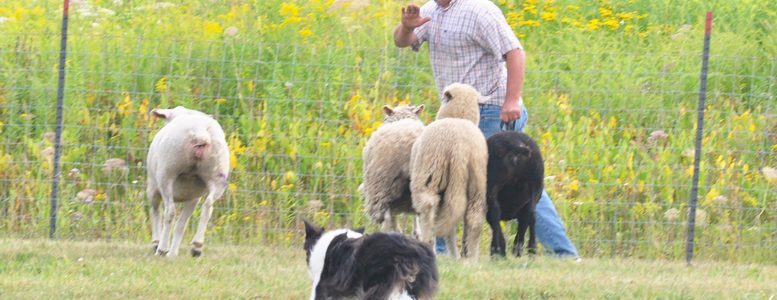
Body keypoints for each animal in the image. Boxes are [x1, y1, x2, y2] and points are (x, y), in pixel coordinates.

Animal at [146, 106, 229, 256]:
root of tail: (200, 131)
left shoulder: (152, 188)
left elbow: (155, 213)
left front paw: (157, 243)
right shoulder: (193, 197)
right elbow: (181, 224)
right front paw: (173, 253)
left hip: (167, 173)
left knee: (169, 212)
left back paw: (162, 249)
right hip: (217, 175)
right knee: (207, 206)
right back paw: (196, 246)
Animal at [410, 83, 488, 258]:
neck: (460, 116)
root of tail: (460, 149)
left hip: (429, 175)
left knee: (428, 208)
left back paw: (428, 243)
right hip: (477, 183)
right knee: (473, 217)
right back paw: (470, 258)